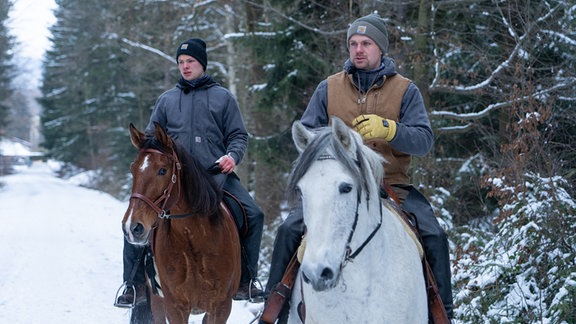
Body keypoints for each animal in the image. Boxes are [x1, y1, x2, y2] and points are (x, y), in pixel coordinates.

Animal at [122, 123, 242, 322]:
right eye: (132, 170)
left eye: (162, 170)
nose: (132, 227)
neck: (192, 239)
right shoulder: (174, 307)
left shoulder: (220, 307)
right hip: (156, 301)